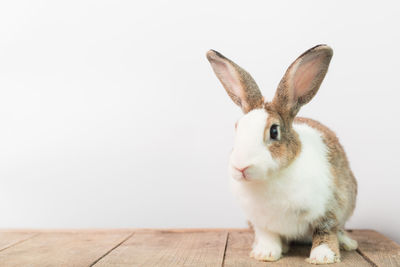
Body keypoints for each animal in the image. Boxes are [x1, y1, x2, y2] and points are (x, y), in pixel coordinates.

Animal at [206, 45, 356, 264]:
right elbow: (268, 236)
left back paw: (348, 243)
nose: (240, 167)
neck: (270, 179)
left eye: (274, 131)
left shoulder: (330, 208)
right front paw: (265, 254)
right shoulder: (261, 222)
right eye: (237, 128)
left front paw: (323, 257)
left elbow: (325, 231)